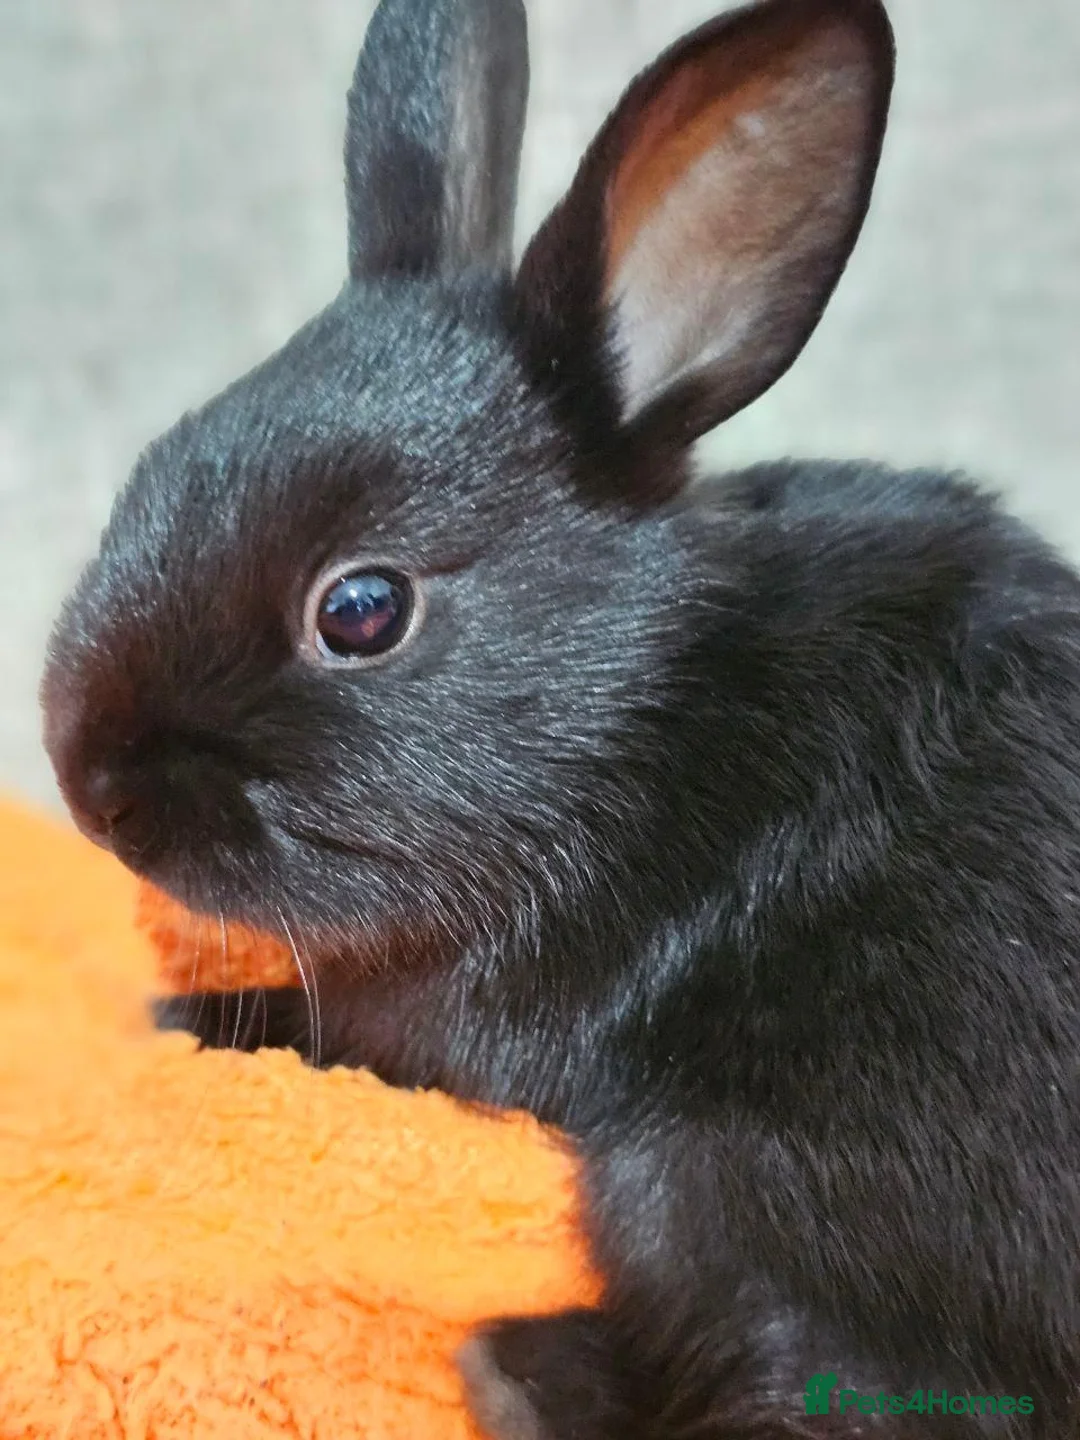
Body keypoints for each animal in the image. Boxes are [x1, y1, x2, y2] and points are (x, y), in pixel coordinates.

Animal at [41, 0, 1080, 1433]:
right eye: (149, 470)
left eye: (361, 610)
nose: (90, 781)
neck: (641, 713)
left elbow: (322, 1036)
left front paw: (174, 1022)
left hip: (733, 1177)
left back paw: (515, 1369)